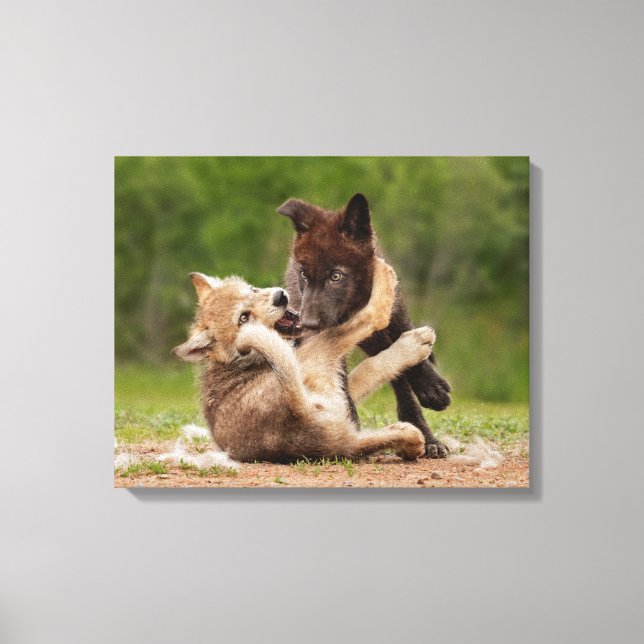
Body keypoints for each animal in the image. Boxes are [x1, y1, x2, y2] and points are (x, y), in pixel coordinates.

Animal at [173, 258, 437, 463]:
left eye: (253, 290)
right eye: (243, 318)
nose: (280, 297)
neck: (242, 360)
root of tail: (297, 413)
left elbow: (365, 373)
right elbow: (372, 362)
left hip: (345, 430)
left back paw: (410, 440)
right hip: (321, 352)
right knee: (372, 318)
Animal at [278, 193, 451, 458]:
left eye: (336, 276)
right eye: (304, 275)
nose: (306, 323)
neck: (354, 307)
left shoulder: (393, 314)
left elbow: (409, 348)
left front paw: (431, 387)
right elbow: (341, 385)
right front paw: (349, 428)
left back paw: (427, 435)